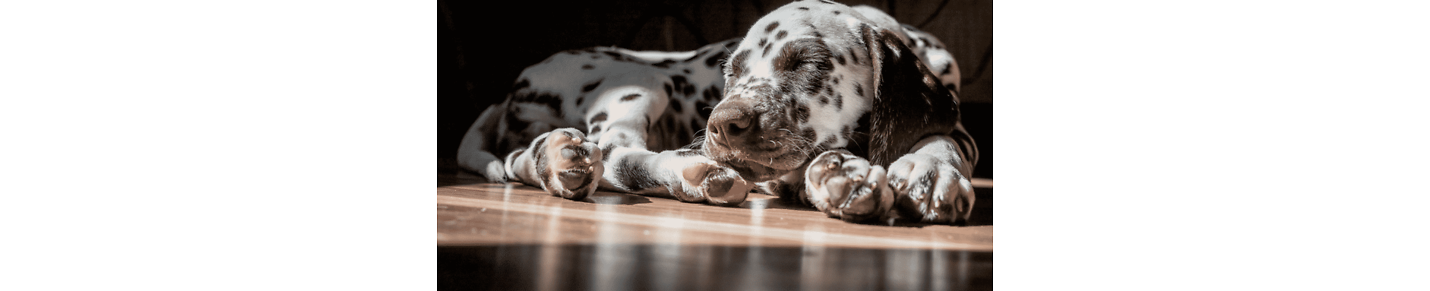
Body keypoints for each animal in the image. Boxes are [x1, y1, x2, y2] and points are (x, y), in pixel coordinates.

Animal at [706, 0, 983, 225]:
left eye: (807, 63)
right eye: (732, 72)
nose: (722, 124)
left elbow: (943, 139)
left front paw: (933, 167)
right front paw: (840, 170)